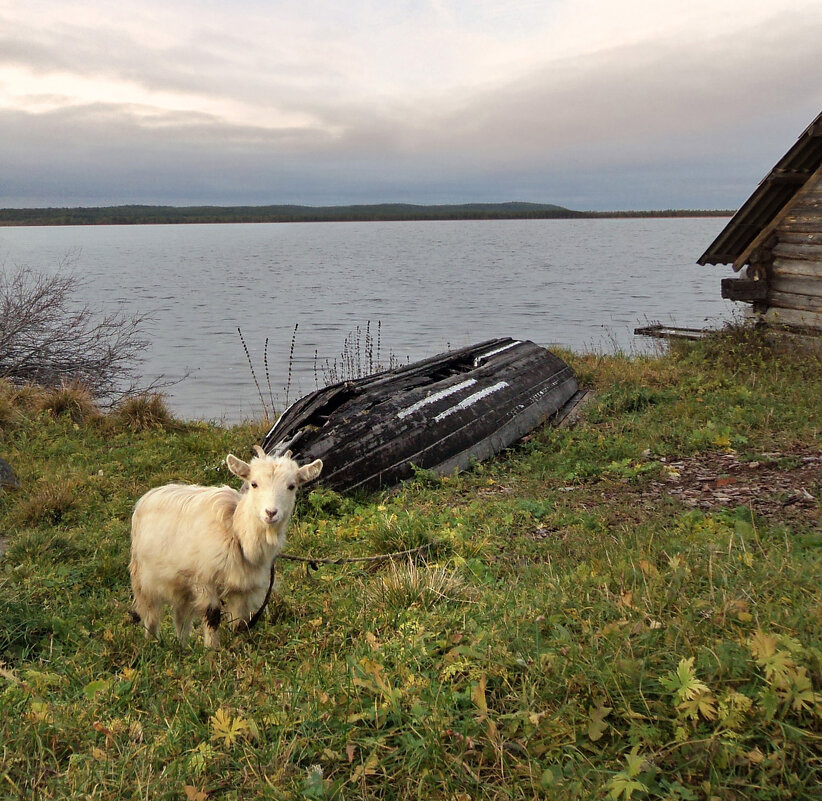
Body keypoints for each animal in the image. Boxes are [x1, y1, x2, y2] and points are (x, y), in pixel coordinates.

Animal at [129, 446, 322, 648]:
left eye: (292, 486)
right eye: (254, 484)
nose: (270, 513)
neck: (235, 532)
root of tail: (151, 494)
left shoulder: (243, 587)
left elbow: (240, 622)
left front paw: (238, 646)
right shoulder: (205, 579)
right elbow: (212, 616)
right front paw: (212, 650)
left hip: (181, 581)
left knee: (182, 615)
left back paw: (183, 646)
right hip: (142, 575)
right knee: (151, 613)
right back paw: (151, 642)